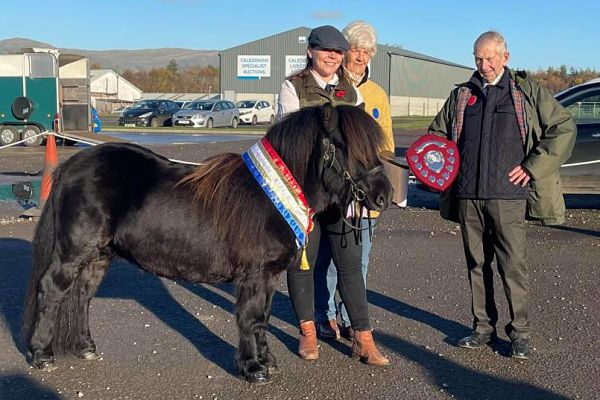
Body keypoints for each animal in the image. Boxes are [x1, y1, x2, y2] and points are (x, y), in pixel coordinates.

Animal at [22, 104, 394, 384]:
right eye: (348, 148)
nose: (385, 196)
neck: (270, 196)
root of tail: (73, 166)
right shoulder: (254, 275)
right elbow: (250, 317)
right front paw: (253, 369)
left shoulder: (268, 277)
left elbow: (264, 317)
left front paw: (267, 361)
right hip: (74, 250)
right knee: (52, 290)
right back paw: (42, 353)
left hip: (100, 254)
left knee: (82, 295)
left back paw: (85, 347)